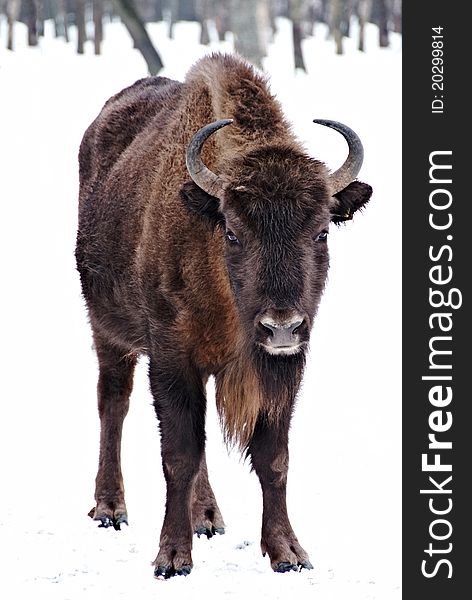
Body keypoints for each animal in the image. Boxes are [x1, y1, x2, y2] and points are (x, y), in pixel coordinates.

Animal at [75, 54, 372, 580]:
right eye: (233, 231)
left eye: (321, 231)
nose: (281, 327)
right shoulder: (171, 360)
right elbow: (178, 454)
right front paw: (172, 558)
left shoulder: (283, 369)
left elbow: (273, 458)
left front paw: (288, 553)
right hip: (107, 332)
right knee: (113, 404)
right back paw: (110, 508)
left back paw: (208, 517)